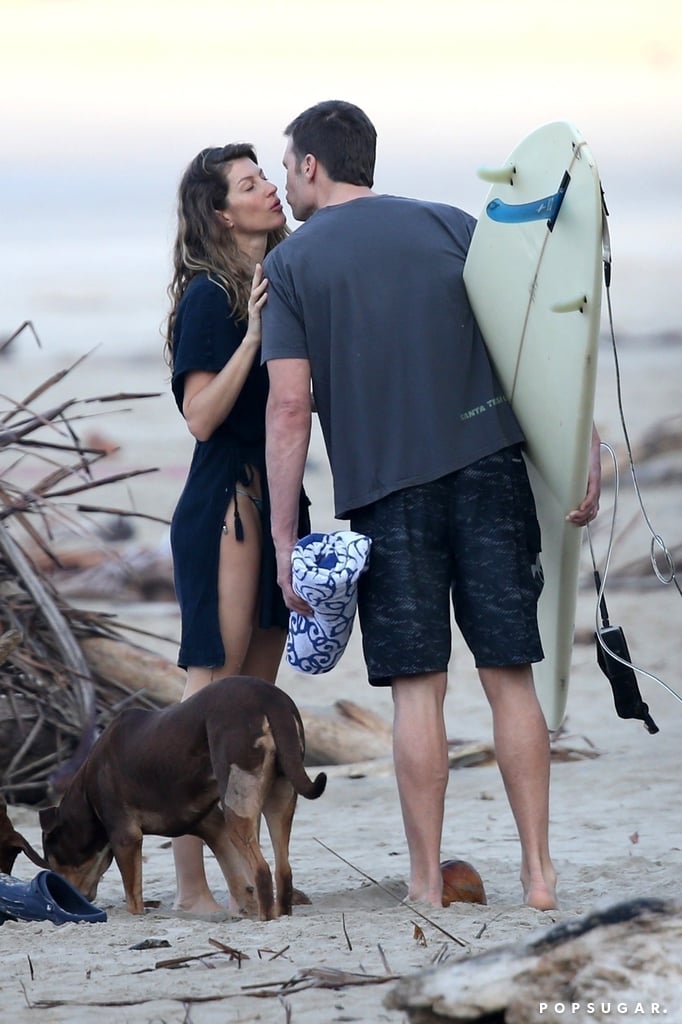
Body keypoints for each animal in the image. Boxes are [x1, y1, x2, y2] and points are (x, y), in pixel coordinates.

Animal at [39, 679, 327, 921]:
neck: (87, 792)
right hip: (281, 798)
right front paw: (244, 907)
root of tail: (269, 698)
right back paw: (280, 913)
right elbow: (236, 878)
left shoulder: (126, 837)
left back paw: (265, 917)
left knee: (262, 871)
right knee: (282, 869)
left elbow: (133, 900)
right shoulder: (213, 827)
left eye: (51, 859)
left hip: (239, 805)